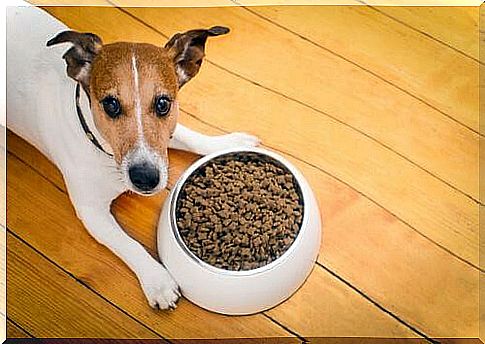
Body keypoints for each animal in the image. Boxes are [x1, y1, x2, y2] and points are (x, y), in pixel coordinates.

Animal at [6, 4, 258, 310]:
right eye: (111, 105)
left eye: (163, 103)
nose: (146, 178)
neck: (103, 149)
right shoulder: (91, 211)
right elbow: (129, 244)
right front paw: (157, 281)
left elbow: (187, 136)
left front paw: (229, 142)